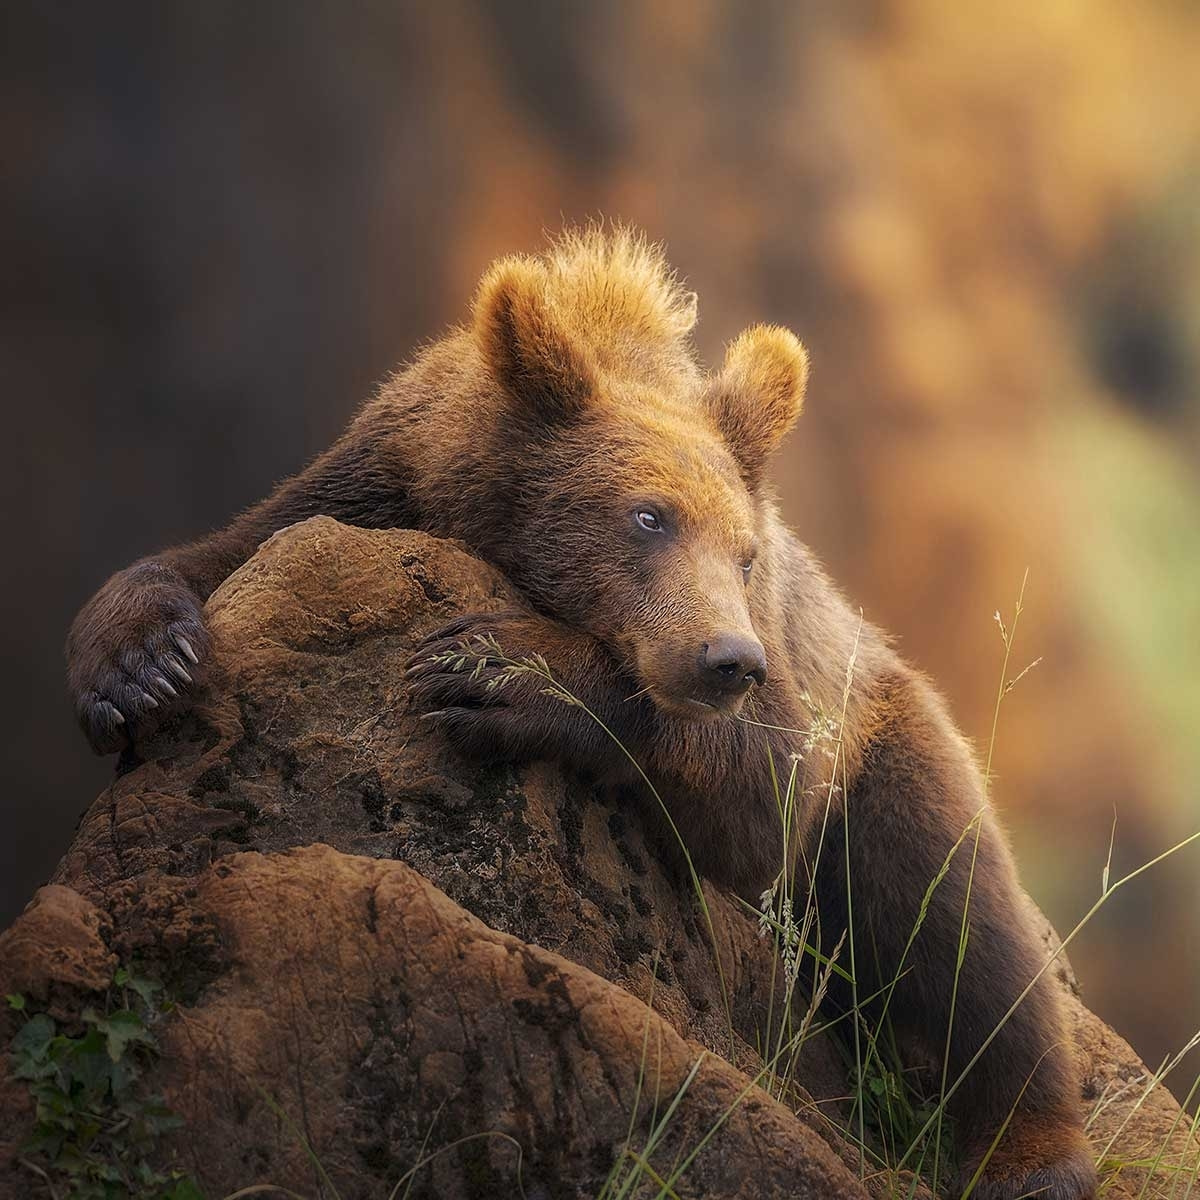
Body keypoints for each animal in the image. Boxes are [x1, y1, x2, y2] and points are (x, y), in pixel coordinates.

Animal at [65, 226, 1099, 1200]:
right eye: (648, 517)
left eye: (746, 551)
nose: (728, 661)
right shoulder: (367, 488)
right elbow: (217, 555)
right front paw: (139, 666)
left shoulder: (789, 698)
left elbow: (760, 798)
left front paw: (495, 669)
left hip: (885, 732)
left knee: (960, 924)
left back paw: (1033, 1157)